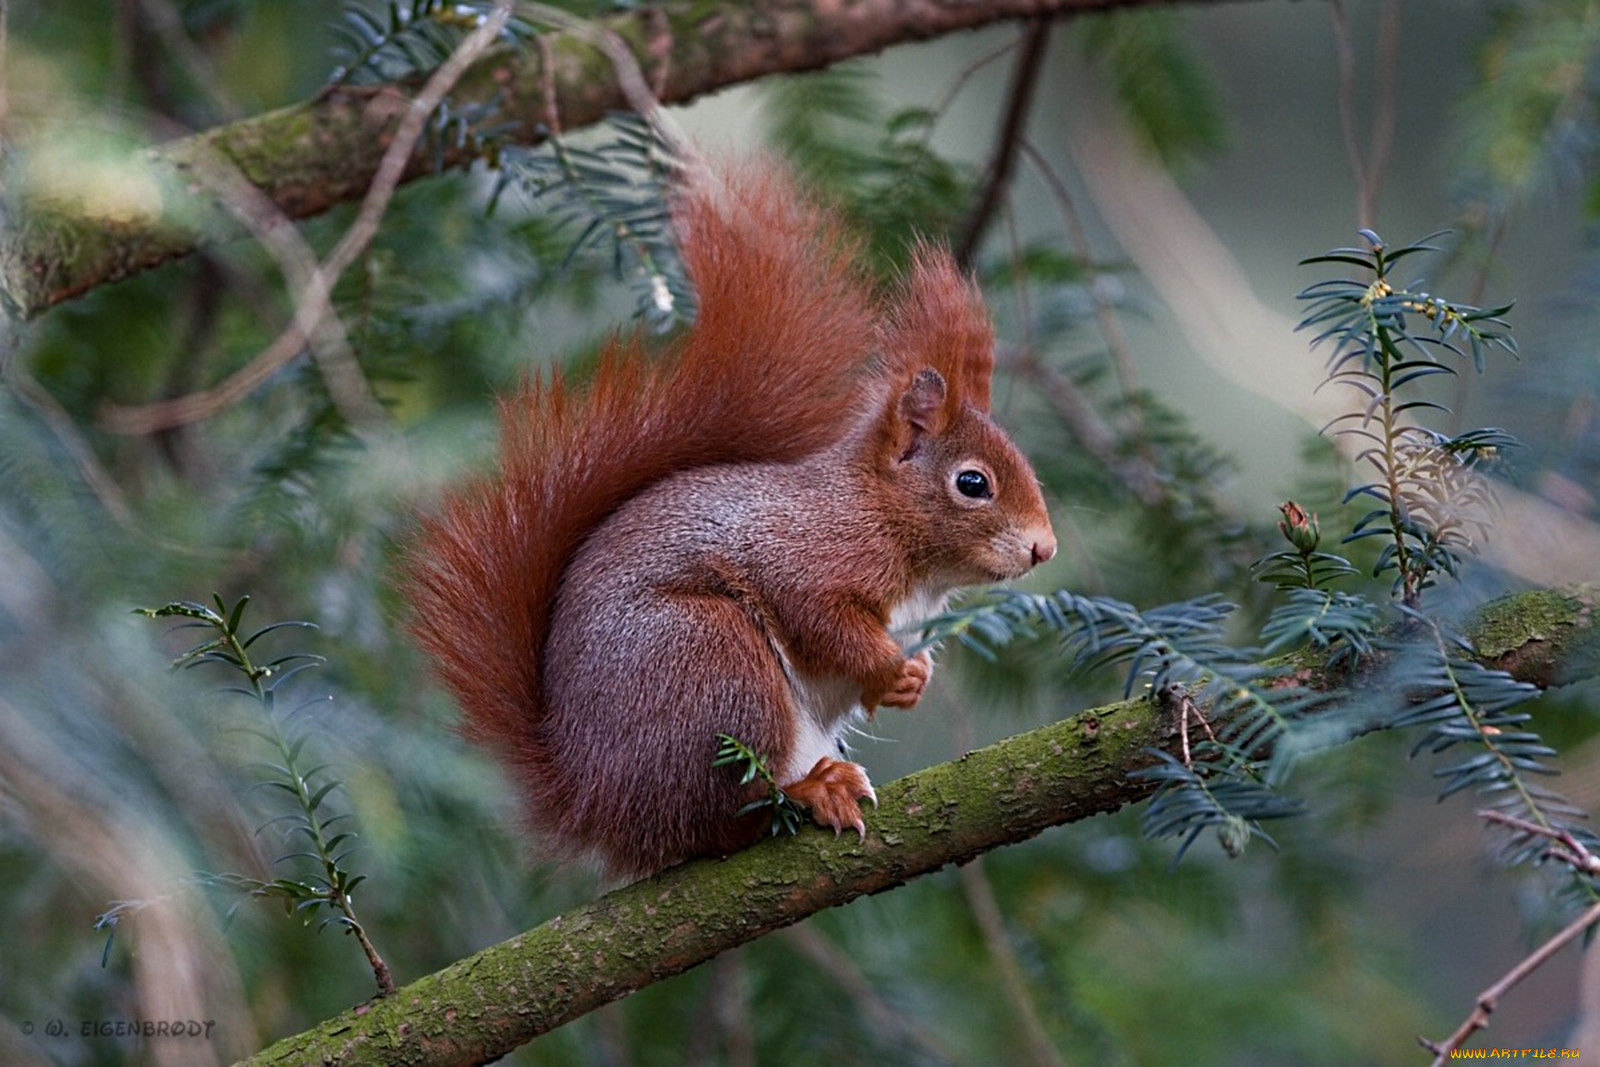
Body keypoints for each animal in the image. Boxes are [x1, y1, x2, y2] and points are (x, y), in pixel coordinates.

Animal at [400, 156, 1056, 876]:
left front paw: (915, 680)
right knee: (716, 820)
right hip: (713, 664)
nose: (1044, 548)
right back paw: (812, 791)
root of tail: (591, 798)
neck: (878, 514)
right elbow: (824, 621)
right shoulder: (808, 556)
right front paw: (894, 668)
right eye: (972, 483)